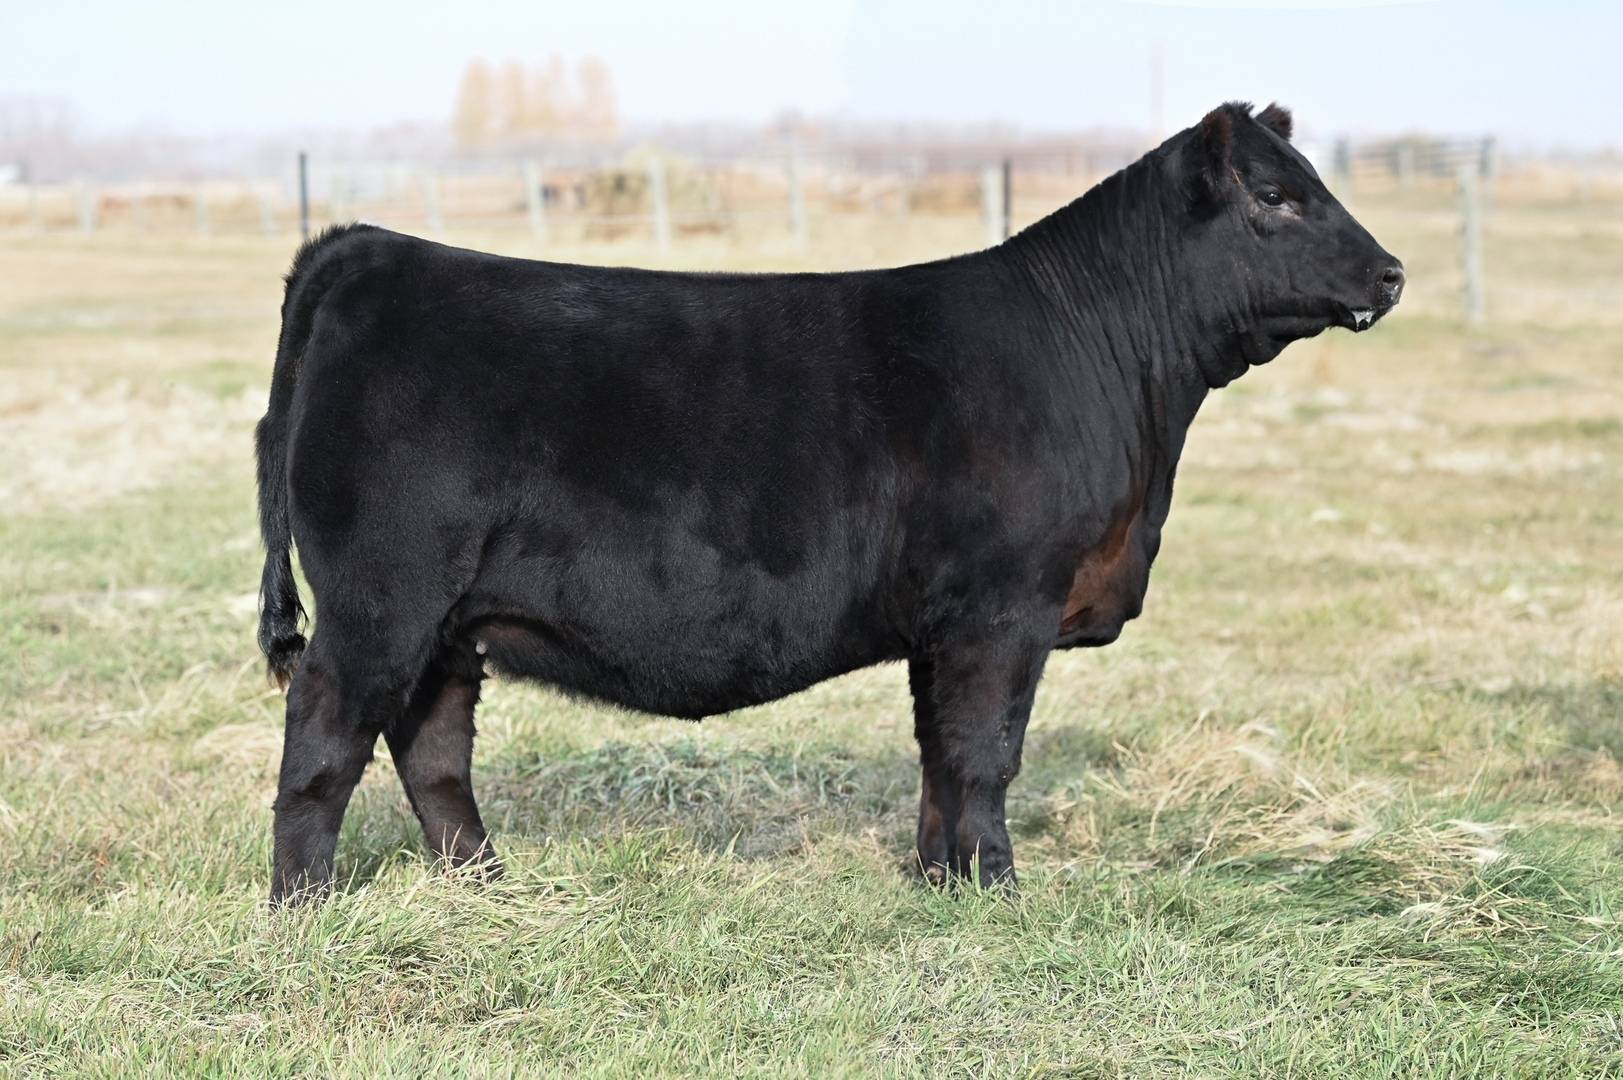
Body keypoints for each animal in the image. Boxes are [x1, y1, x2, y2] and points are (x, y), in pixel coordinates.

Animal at [256, 102, 1403, 905]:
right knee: (327, 732)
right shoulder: (1004, 605)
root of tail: (371, 248)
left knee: (432, 747)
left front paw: (943, 883)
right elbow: (987, 752)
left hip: (450, 618)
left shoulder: (943, 623)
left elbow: (941, 755)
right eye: (1274, 196)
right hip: (381, 596)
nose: (1391, 272)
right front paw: (1002, 890)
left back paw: (490, 889)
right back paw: (304, 910)